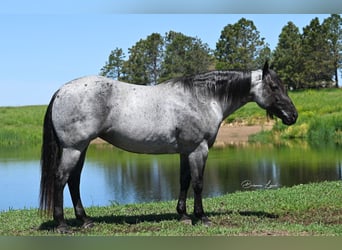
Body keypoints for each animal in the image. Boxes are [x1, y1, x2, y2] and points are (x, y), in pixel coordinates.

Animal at [39, 62, 296, 232]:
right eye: (274, 86)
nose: (293, 116)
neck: (202, 98)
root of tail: (61, 90)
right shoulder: (199, 149)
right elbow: (198, 183)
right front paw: (201, 218)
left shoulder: (185, 151)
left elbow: (184, 181)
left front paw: (183, 215)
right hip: (73, 148)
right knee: (61, 179)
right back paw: (62, 224)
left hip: (81, 149)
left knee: (74, 181)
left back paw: (85, 220)